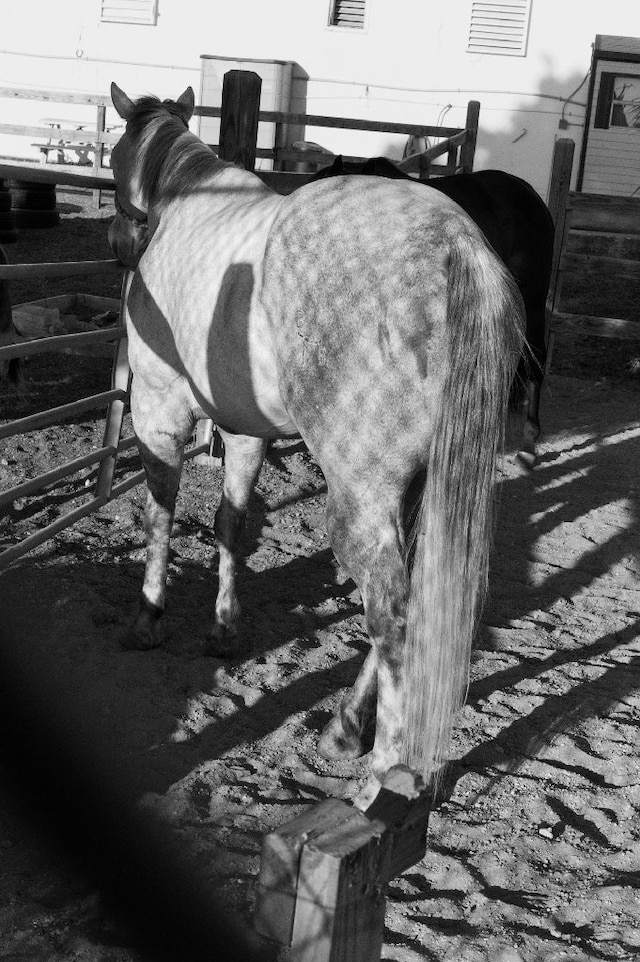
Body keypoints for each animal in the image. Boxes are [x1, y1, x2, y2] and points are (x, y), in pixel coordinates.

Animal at [108, 82, 525, 806]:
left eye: (112, 157)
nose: (117, 242)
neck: (179, 198)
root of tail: (458, 246)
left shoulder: (159, 411)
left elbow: (162, 514)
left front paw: (149, 617)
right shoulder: (245, 431)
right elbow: (229, 523)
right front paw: (224, 627)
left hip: (361, 496)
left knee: (393, 615)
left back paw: (381, 776)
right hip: (417, 490)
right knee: (403, 607)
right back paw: (344, 729)